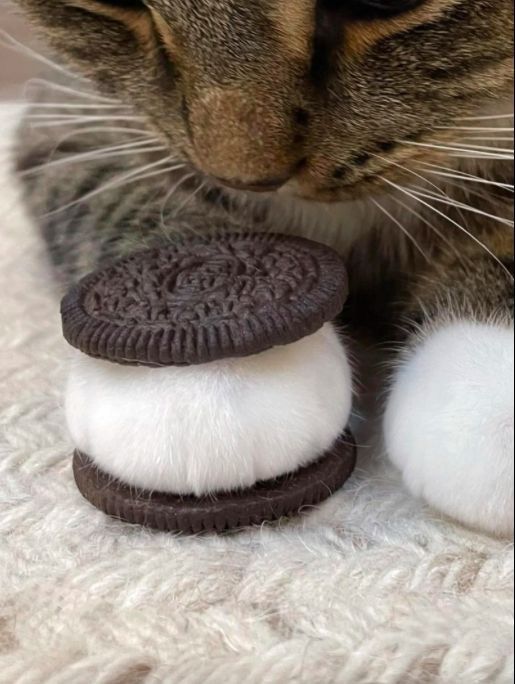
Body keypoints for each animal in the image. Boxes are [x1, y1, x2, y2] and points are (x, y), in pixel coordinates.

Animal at [12, 0, 514, 535]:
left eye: (380, 3)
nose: (245, 178)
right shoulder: (63, 109)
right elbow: (107, 183)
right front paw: (201, 380)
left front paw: (492, 381)